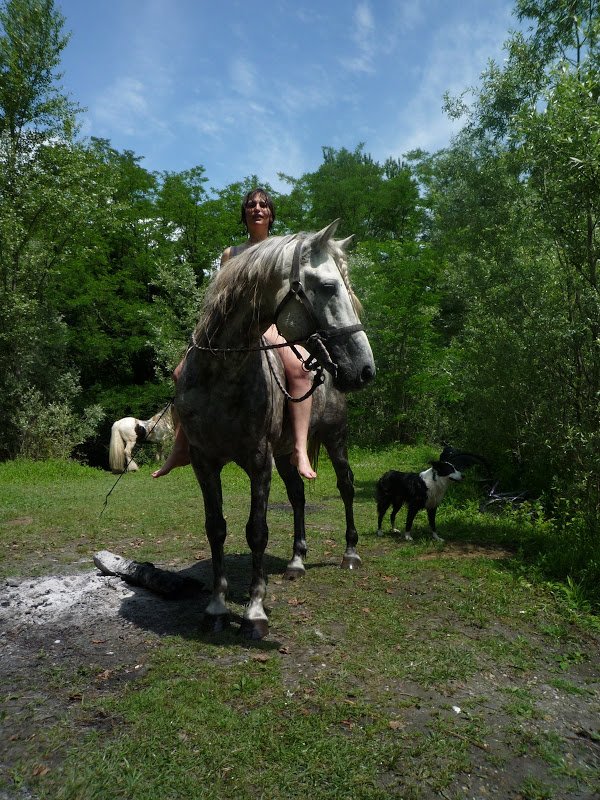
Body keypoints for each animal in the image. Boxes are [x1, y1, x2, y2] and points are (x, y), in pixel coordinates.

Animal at [175, 219, 376, 636]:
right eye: (328, 287)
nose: (366, 369)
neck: (221, 374)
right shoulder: (205, 463)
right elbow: (215, 527)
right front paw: (216, 607)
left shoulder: (258, 461)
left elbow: (257, 531)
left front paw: (254, 611)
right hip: (286, 454)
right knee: (298, 495)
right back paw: (297, 560)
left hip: (335, 440)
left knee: (346, 486)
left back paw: (350, 552)